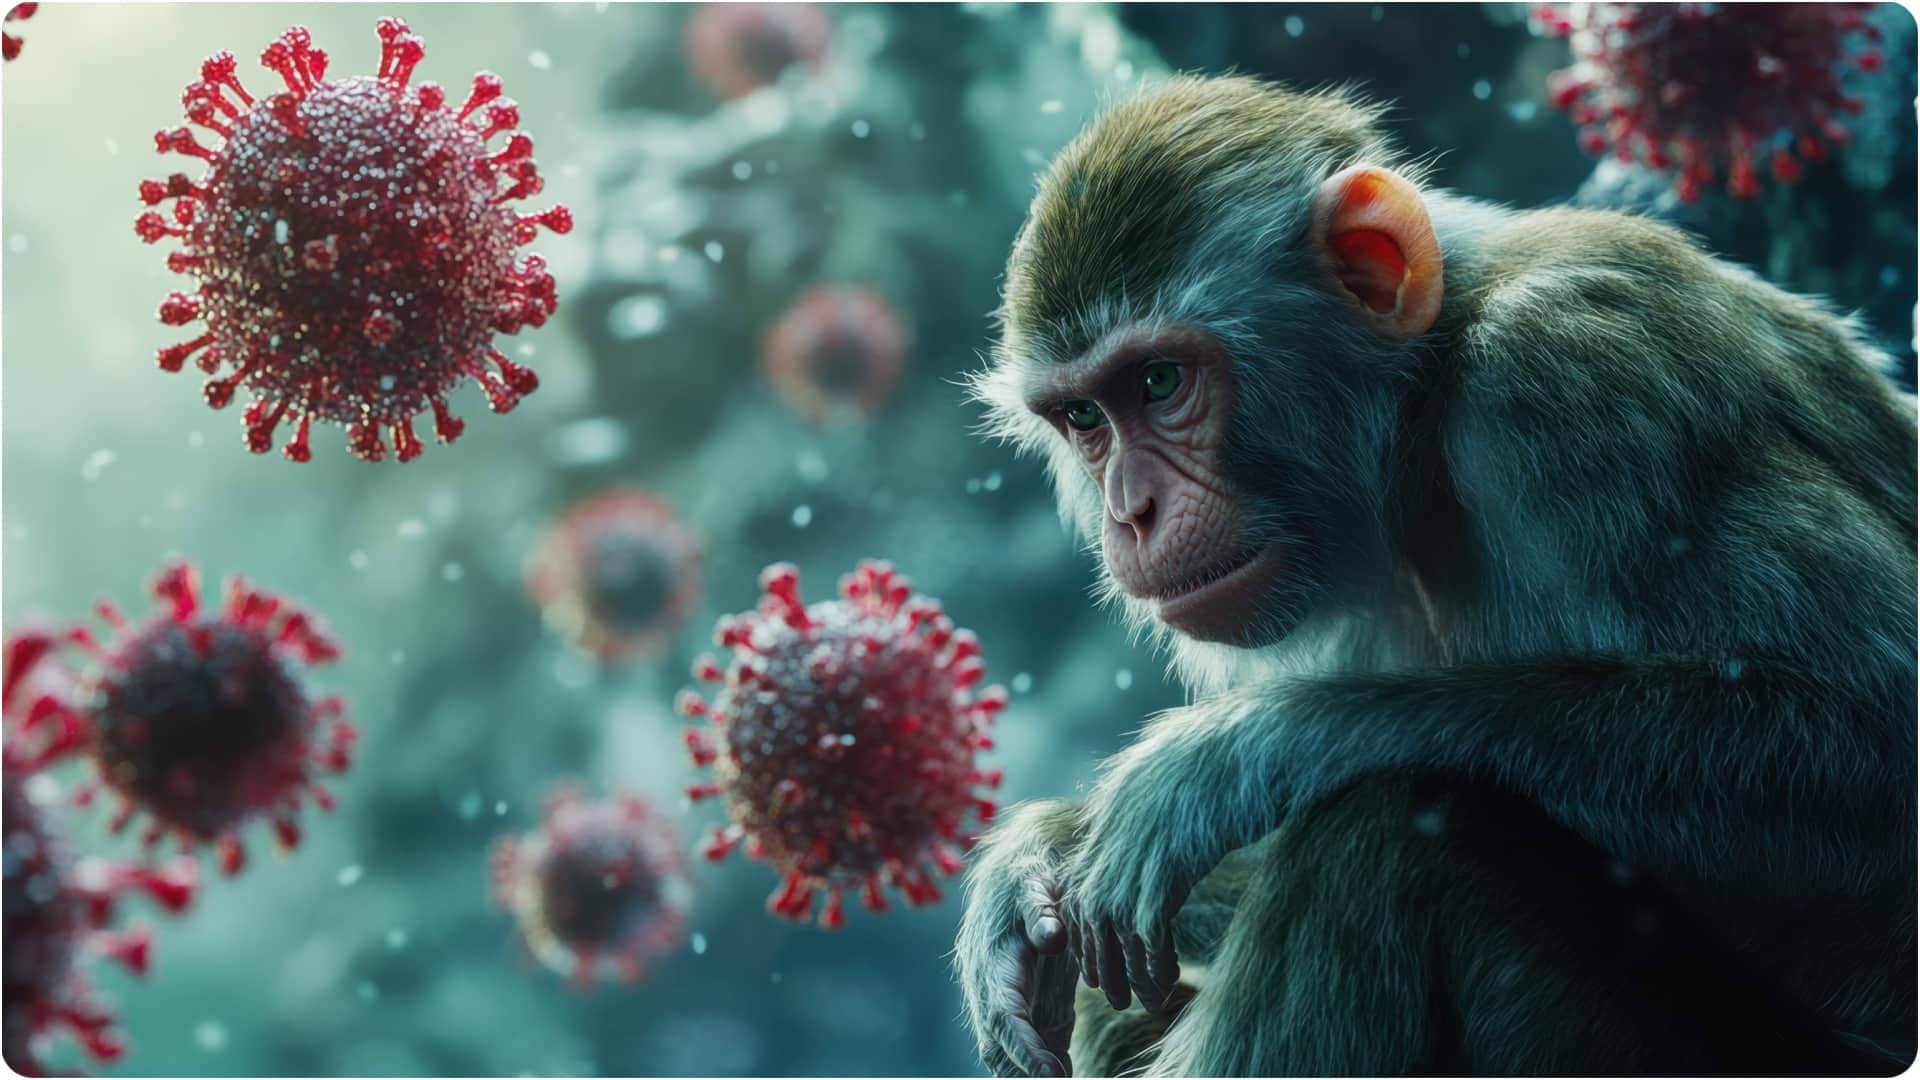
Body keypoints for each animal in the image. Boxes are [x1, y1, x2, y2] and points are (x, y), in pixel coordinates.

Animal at [953, 75, 1916, 1077]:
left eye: (1159, 383)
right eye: (1084, 418)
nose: (1130, 511)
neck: (1429, 394)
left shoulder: (1576, 378)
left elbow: (1876, 735)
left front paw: (1233, 758)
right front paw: (1040, 857)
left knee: (1393, 823)